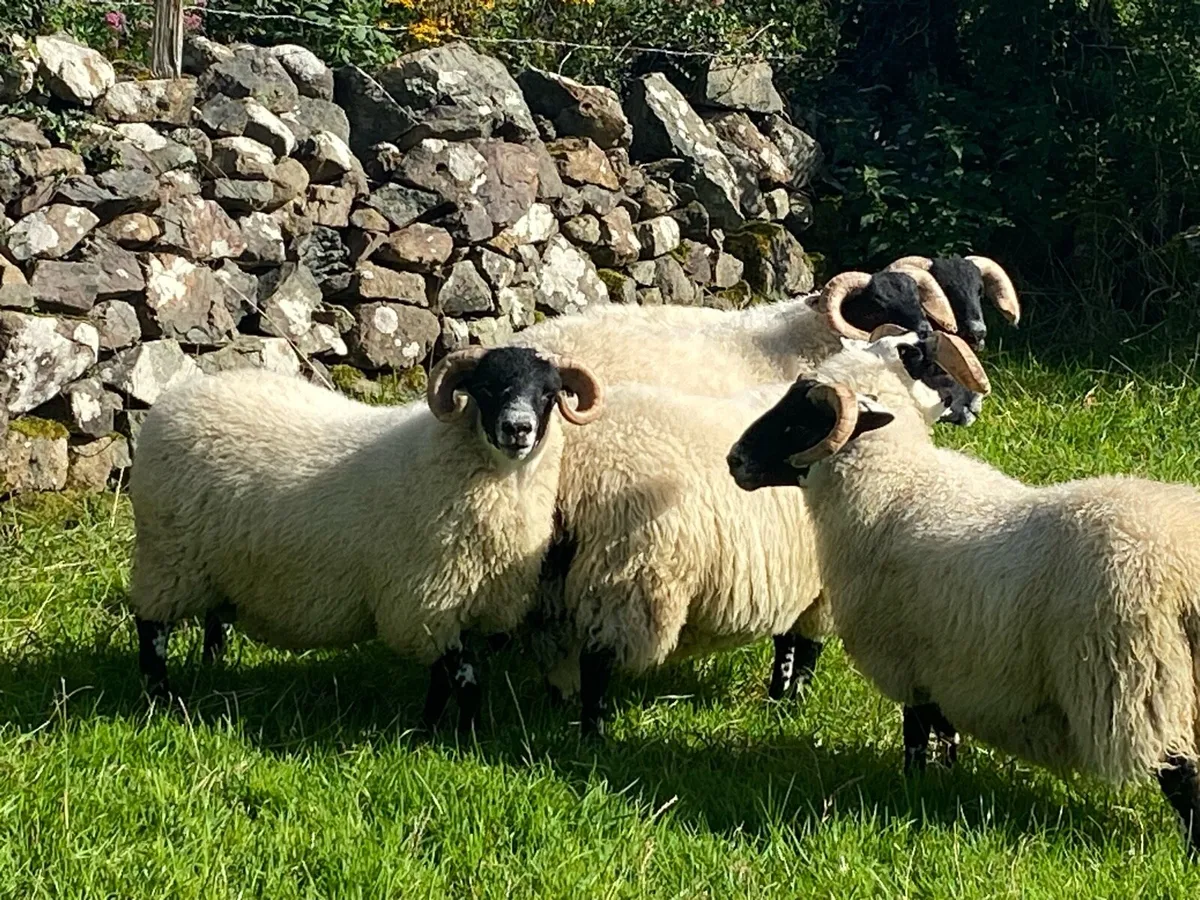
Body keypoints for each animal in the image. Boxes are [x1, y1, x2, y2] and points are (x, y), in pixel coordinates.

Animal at [127, 346, 604, 732]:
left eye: (550, 393)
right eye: (486, 387)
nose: (517, 429)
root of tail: (177, 398)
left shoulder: (457, 604)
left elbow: (443, 679)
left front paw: (431, 730)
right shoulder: (424, 600)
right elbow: (466, 680)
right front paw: (463, 737)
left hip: (219, 561)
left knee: (214, 619)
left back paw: (214, 670)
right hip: (167, 556)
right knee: (151, 630)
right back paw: (159, 699)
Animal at [539, 328, 986, 736]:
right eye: (933, 365)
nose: (975, 406)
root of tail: (578, 467)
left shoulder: (794, 578)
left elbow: (785, 642)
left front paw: (777, 697)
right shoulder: (820, 586)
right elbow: (806, 648)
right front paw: (795, 702)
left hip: (560, 575)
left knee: (558, 646)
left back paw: (560, 705)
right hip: (627, 574)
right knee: (597, 661)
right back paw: (593, 733)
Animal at [728, 349, 1200, 857]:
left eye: (799, 422)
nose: (734, 459)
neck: (894, 486)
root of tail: (1183, 568)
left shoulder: (906, 661)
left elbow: (916, 734)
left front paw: (913, 785)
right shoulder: (946, 665)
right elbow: (944, 730)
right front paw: (945, 780)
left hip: (1139, 675)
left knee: (1182, 774)